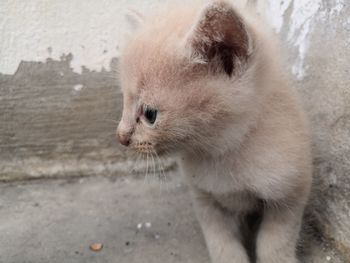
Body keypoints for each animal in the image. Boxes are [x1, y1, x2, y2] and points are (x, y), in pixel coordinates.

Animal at [117, 1, 312, 262]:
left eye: (150, 114)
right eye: (125, 102)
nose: (121, 137)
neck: (221, 152)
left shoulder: (290, 195)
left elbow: (275, 243)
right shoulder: (205, 199)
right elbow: (222, 243)